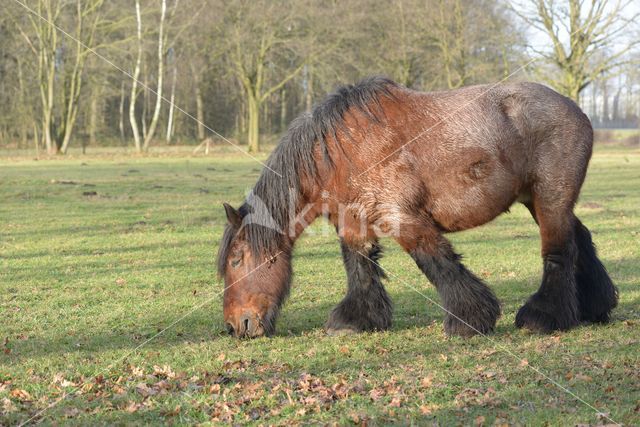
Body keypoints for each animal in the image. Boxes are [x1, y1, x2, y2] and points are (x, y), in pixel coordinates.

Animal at [218, 76, 616, 338]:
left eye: (237, 260)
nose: (237, 325)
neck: (343, 151)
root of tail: (576, 109)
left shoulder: (403, 217)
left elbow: (436, 262)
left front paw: (469, 321)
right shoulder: (355, 221)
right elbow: (360, 269)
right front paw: (357, 320)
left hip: (549, 199)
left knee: (558, 252)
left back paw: (543, 317)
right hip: (540, 200)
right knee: (579, 240)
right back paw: (595, 306)